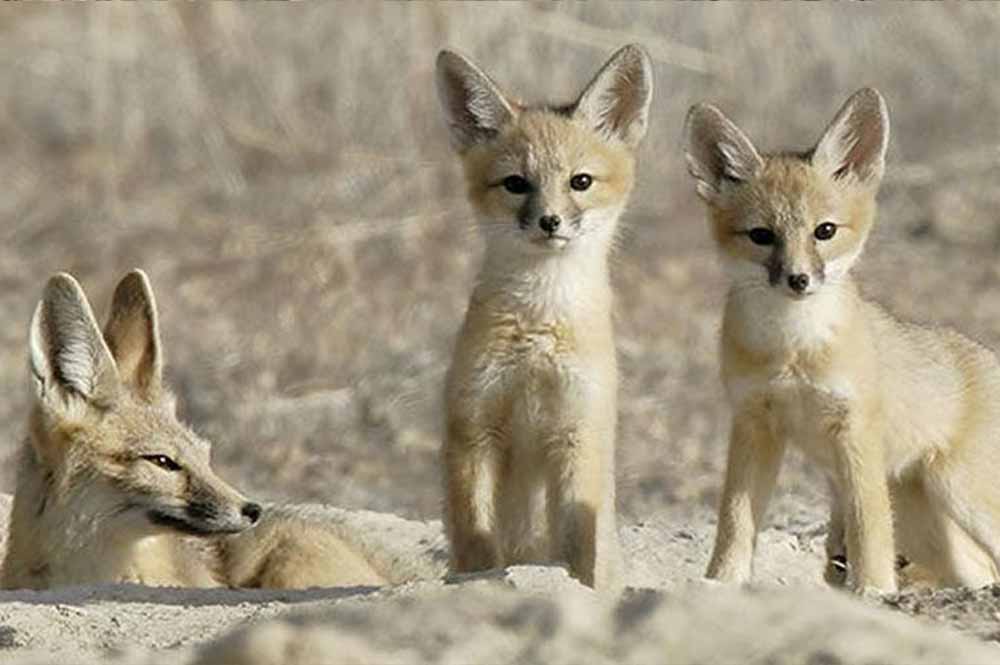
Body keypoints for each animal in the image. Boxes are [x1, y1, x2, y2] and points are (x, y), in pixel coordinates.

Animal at [434, 44, 652, 588]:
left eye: (580, 182)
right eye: (516, 184)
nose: (550, 221)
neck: (538, 324)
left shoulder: (579, 433)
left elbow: (578, 546)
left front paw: (577, 590)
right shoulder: (473, 428)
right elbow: (475, 539)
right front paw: (478, 584)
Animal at [684, 88, 1000, 592]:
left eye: (825, 231)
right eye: (761, 236)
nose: (798, 280)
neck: (792, 350)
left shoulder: (854, 431)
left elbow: (867, 524)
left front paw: (873, 589)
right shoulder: (753, 423)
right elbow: (734, 519)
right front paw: (721, 581)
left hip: (961, 492)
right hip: (926, 517)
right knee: (979, 571)